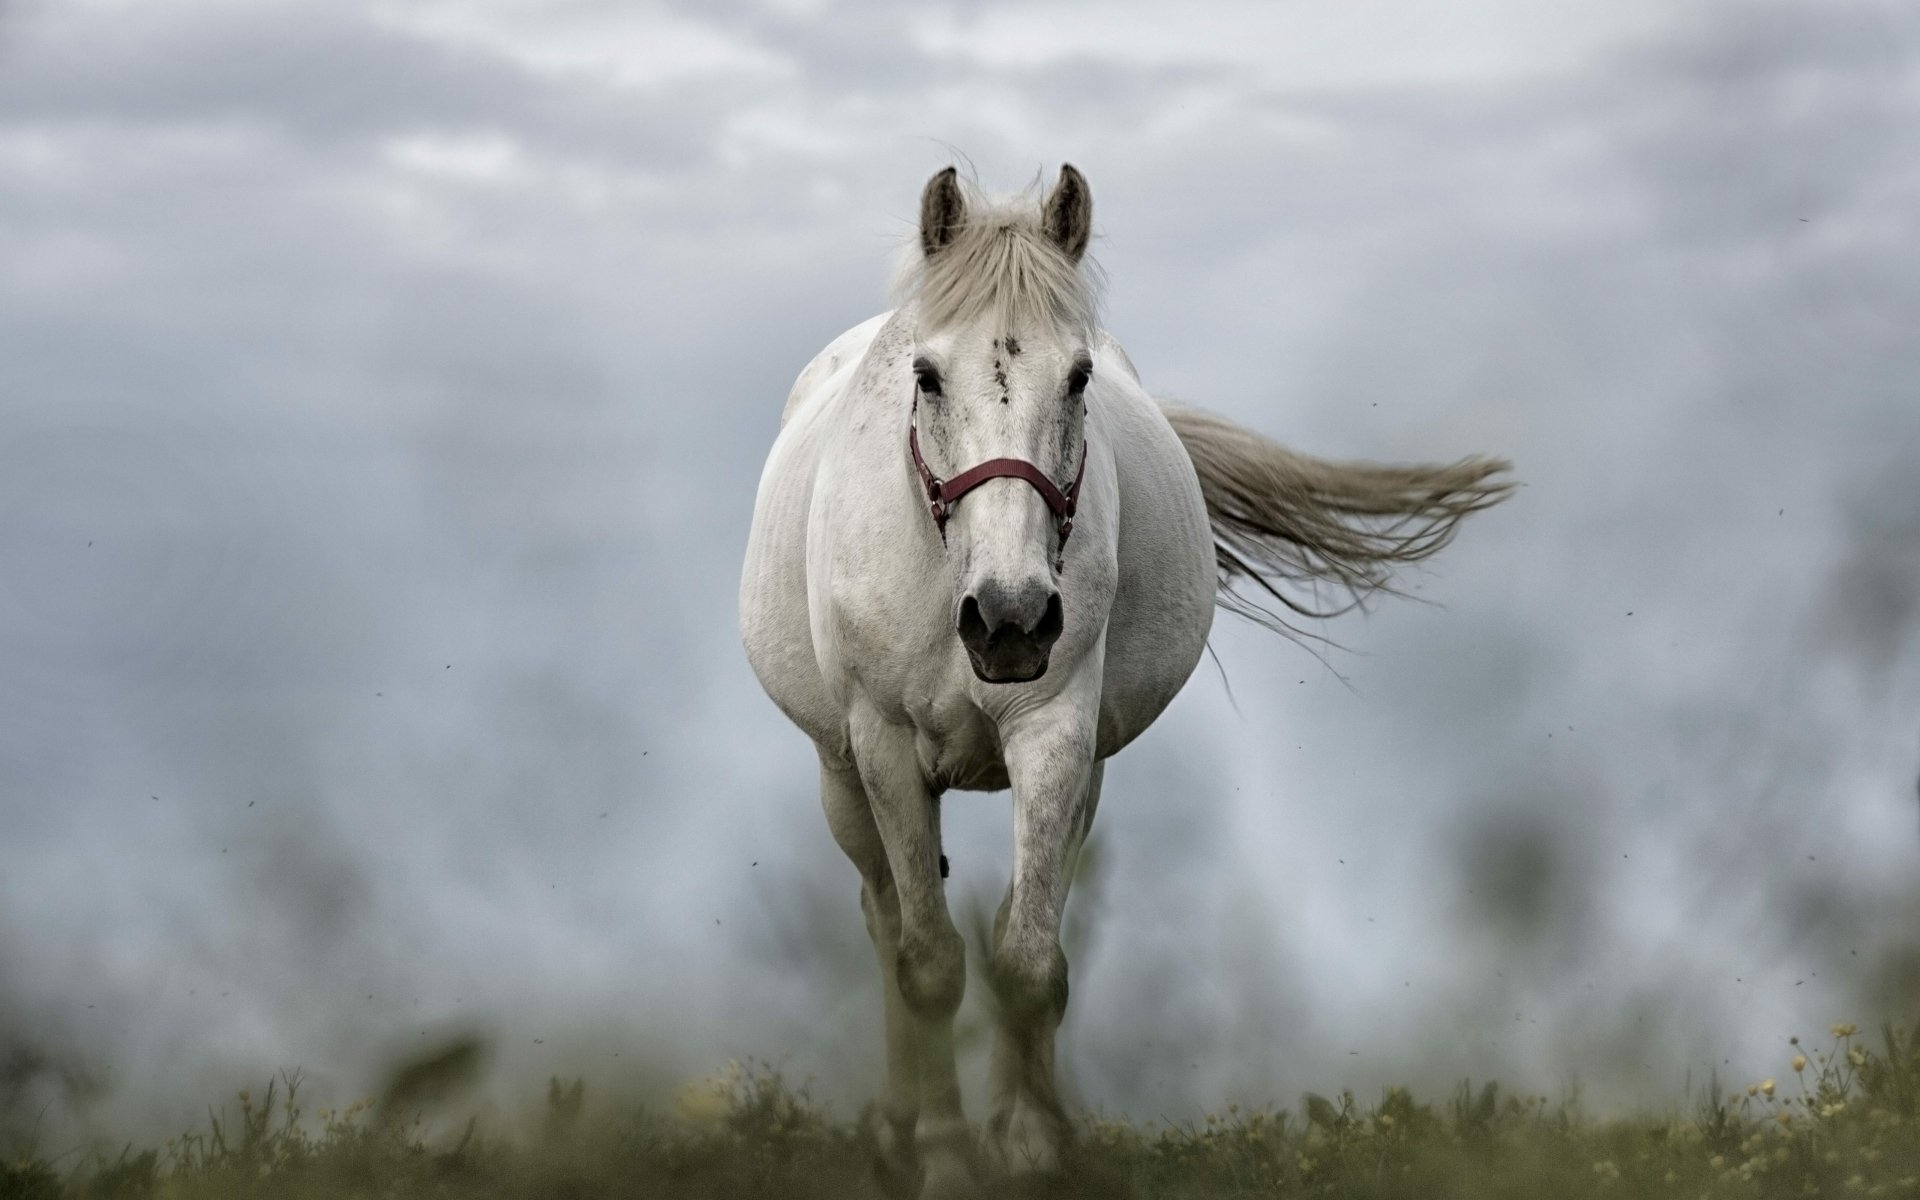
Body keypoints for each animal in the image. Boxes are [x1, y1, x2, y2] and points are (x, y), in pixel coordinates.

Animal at [738, 164, 1511, 1195]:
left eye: (1078, 377)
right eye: (927, 375)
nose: (1011, 619)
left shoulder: (1057, 734)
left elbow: (1028, 961)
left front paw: (1029, 1147)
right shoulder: (886, 748)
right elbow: (929, 964)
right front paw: (942, 1160)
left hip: (1083, 775)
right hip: (841, 775)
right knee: (884, 920)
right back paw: (898, 1129)